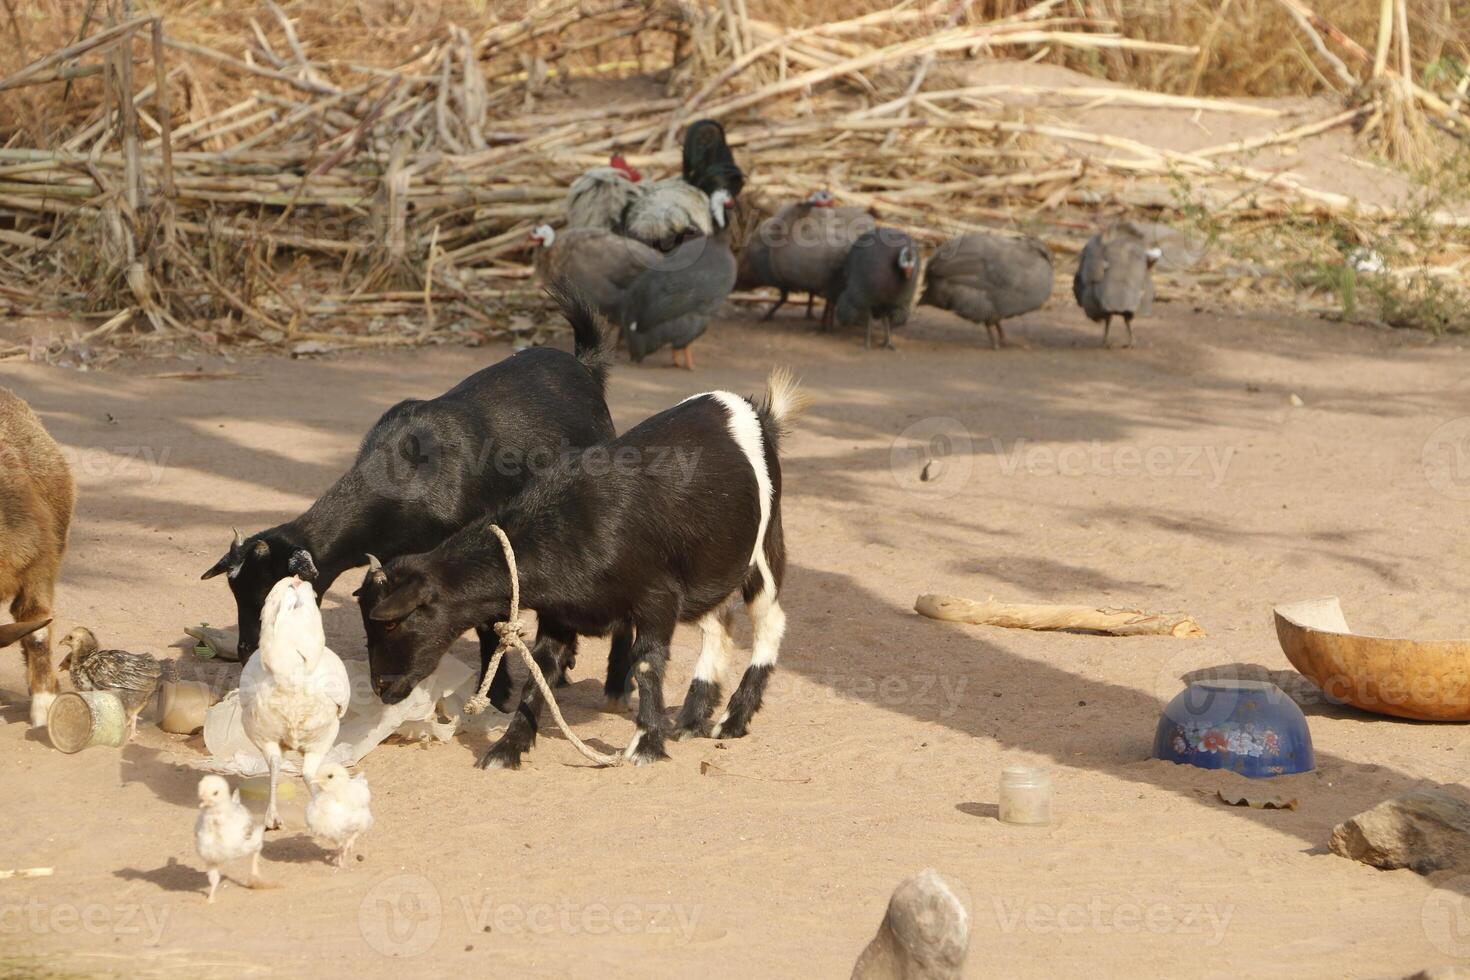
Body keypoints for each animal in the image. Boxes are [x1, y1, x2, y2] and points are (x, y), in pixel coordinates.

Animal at [202, 287, 632, 708]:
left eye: (271, 594)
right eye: (236, 592)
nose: (246, 651)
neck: (406, 479)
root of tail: (585, 366)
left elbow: (487, 620)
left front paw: (494, 693)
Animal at [360, 365, 811, 764]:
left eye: (393, 623)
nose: (381, 688)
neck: (572, 525)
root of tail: (756, 414)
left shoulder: (657, 599)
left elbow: (646, 664)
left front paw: (646, 745)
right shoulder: (559, 615)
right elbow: (540, 672)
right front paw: (508, 748)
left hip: (762, 549)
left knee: (770, 622)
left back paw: (732, 720)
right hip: (710, 567)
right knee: (720, 625)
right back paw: (689, 720)